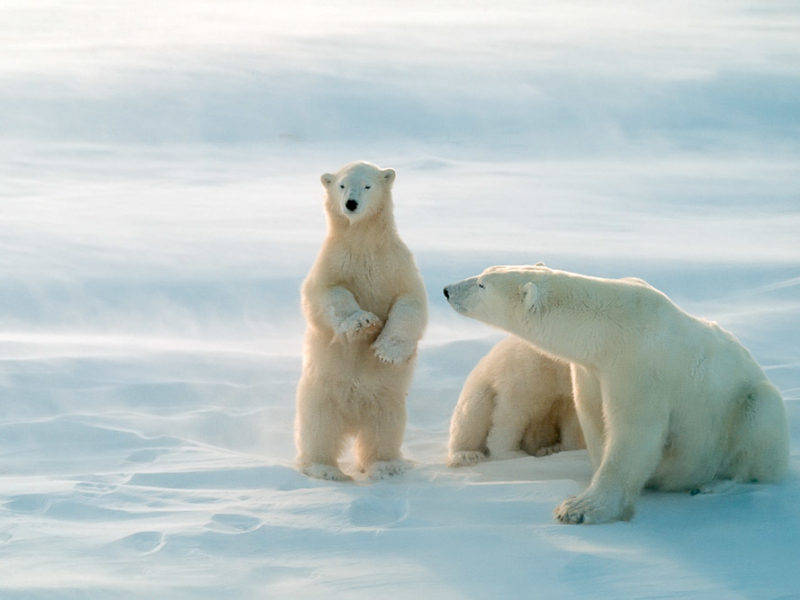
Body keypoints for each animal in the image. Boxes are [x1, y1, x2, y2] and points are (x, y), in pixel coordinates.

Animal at [294, 162, 428, 480]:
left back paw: (387, 466)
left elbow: (410, 303)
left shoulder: (395, 265)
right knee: (318, 430)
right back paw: (324, 469)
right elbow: (327, 294)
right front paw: (362, 322)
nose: (351, 204)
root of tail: (353, 419)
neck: (364, 243)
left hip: (388, 400)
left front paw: (386, 350)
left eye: (367, 185)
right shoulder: (334, 262)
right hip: (319, 394)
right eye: (342, 185)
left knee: (384, 430)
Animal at [446, 336, 584, 466]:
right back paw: (467, 454)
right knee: (473, 414)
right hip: (479, 388)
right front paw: (512, 454)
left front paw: (565, 448)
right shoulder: (529, 371)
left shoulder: (567, 389)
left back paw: (548, 448)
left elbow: (572, 419)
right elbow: (513, 412)